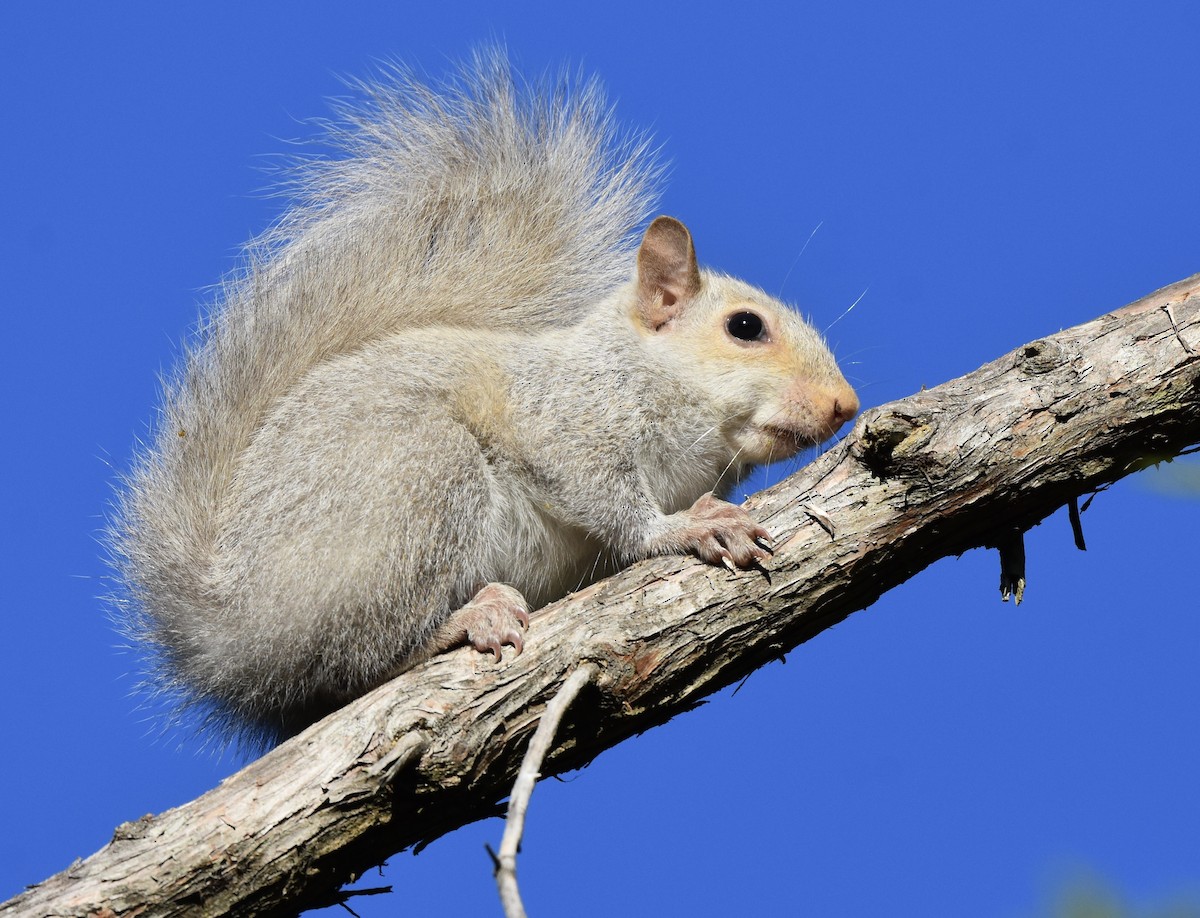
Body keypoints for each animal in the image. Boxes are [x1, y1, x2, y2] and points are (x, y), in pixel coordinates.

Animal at [110, 52, 859, 748]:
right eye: (745, 327)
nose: (844, 405)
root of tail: (228, 627)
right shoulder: (568, 417)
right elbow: (605, 496)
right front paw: (688, 528)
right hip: (418, 483)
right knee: (357, 661)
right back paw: (470, 617)